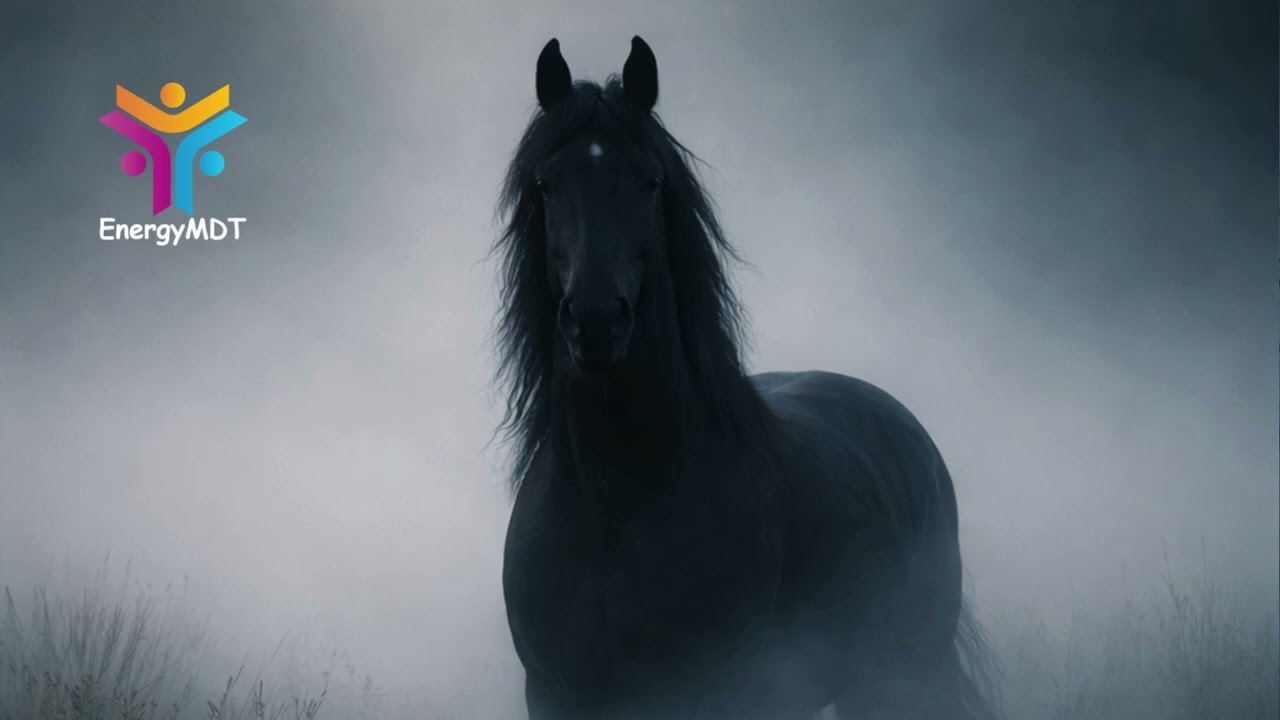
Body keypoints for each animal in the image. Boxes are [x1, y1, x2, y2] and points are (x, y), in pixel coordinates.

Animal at [492, 35, 1001, 720]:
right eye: (546, 185)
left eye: (651, 182)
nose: (596, 320)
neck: (616, 513)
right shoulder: (555, 697)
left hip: (897, 672)